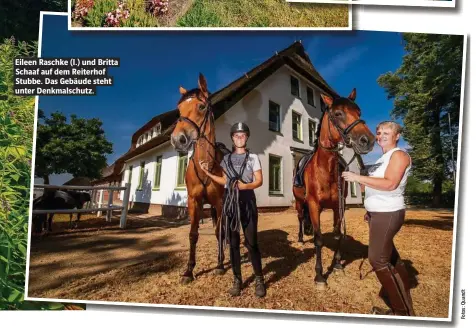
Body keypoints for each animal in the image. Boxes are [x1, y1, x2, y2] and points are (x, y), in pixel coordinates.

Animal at [169, 73, 227, 284]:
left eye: (201, 107)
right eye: (179, 110)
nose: (177, 139)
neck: (205, 166)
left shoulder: (219, 202)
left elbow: (219, 232)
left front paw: (220, 264)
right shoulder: (194, 201)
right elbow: (193, 234)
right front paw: (188, 271)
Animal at [290, 88, 376, 288]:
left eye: (359, 112)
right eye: (338, 114)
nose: (367, 140)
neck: (325, 169)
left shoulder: (338, 206)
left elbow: (337, 235)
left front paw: (337, 264)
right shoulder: (313, 205)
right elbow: (319, 239)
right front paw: (319, 275)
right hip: (299, 202)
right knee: (300, 218)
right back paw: (300, 238)